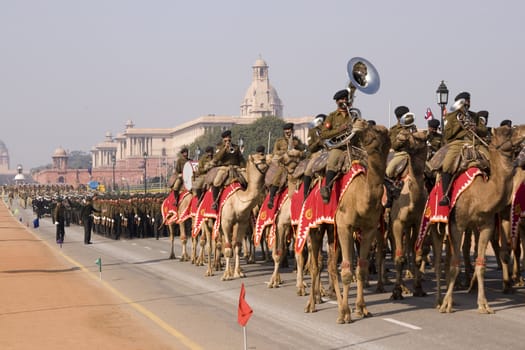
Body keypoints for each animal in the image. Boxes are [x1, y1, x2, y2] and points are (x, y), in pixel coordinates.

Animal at [217, 153, 268, 282]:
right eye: (262, 159)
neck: (237, 201)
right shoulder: (226, 223)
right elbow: (228, 249)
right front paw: (226, 275)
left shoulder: (242, 222)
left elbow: (237, 247)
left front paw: (238, 273)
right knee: (219, 243)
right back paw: (217, 266)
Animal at [328, 121, 388, 324]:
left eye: (376, 129)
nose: (360, 123)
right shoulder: (344, 226)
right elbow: (347, 271)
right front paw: (345, 313)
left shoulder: (369, 228)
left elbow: (361, 268)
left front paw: (361, 309)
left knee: (332, 265)